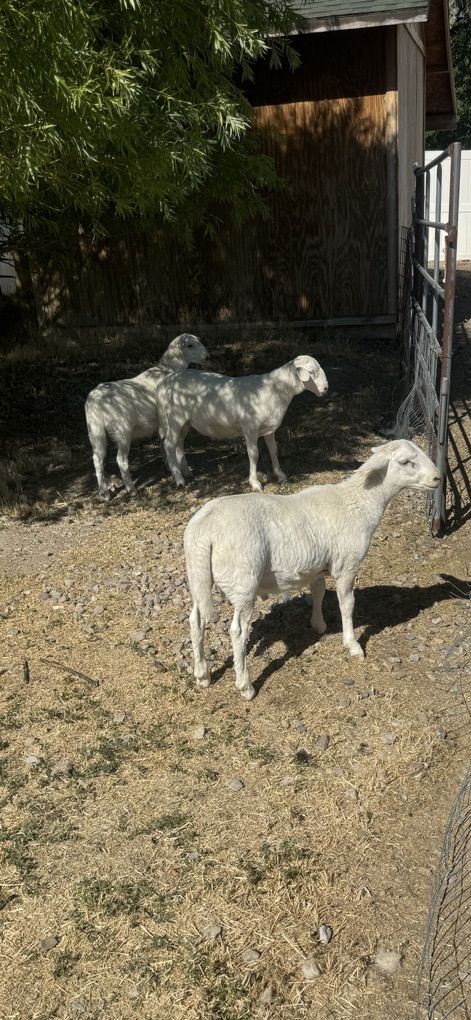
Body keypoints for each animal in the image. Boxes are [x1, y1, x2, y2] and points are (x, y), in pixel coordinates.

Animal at [85, 333, 209, 500]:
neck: (170, 369)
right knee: (121, 460)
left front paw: (167, 464)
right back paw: (131, 489)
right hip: (122, 431)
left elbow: (162, 443)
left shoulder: (160, 424)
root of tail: (96, 401)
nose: (207, 357)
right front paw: (182, 470)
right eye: (190, 345)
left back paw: (104, 493)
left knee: (97, 460)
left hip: (95, 432)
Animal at [161, 355, 328, 491]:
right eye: (312, 372)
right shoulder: (250, 428)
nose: (326, 388)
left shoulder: (269, 429)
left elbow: (274, 450)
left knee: (179, 443)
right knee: (169, 445)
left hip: (185, 422)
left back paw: (186, 472)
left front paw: (280, 475)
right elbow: (254, 454)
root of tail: (169, 380)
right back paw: (179, 480)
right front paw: (255, 483)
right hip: (175, 417)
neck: (275, 390)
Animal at [184, 440, 440, 700]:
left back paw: (202, 674)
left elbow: (318, 592)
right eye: (405, 461)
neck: (360, 502)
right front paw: (352, 645)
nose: (438, 477)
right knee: (237, 631)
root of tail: (205, 529)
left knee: (195, 620)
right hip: (243, 580)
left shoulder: (317, 565)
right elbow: (347, 605)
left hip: (198, 575)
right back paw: (245, 685)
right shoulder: (347, 565)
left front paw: (319, 625)